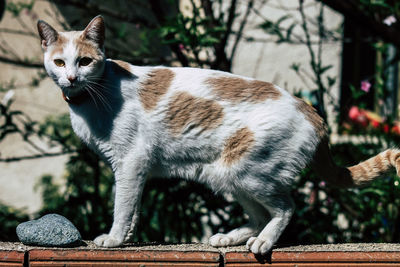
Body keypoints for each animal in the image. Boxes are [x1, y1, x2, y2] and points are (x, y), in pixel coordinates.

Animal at [36, 15, 400, 254]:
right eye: (60, 62)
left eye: (85, 61)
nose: (71, 78)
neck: (92, 97)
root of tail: (311, 110)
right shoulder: (134, 171)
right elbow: (134, 209)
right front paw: (126, 239)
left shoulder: (130, 163)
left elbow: (122, 207)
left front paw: (112, 240)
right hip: (224, 175)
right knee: (260, 214)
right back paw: (229, 238)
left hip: (246, 171)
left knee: (285, 208)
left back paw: (263, 242)